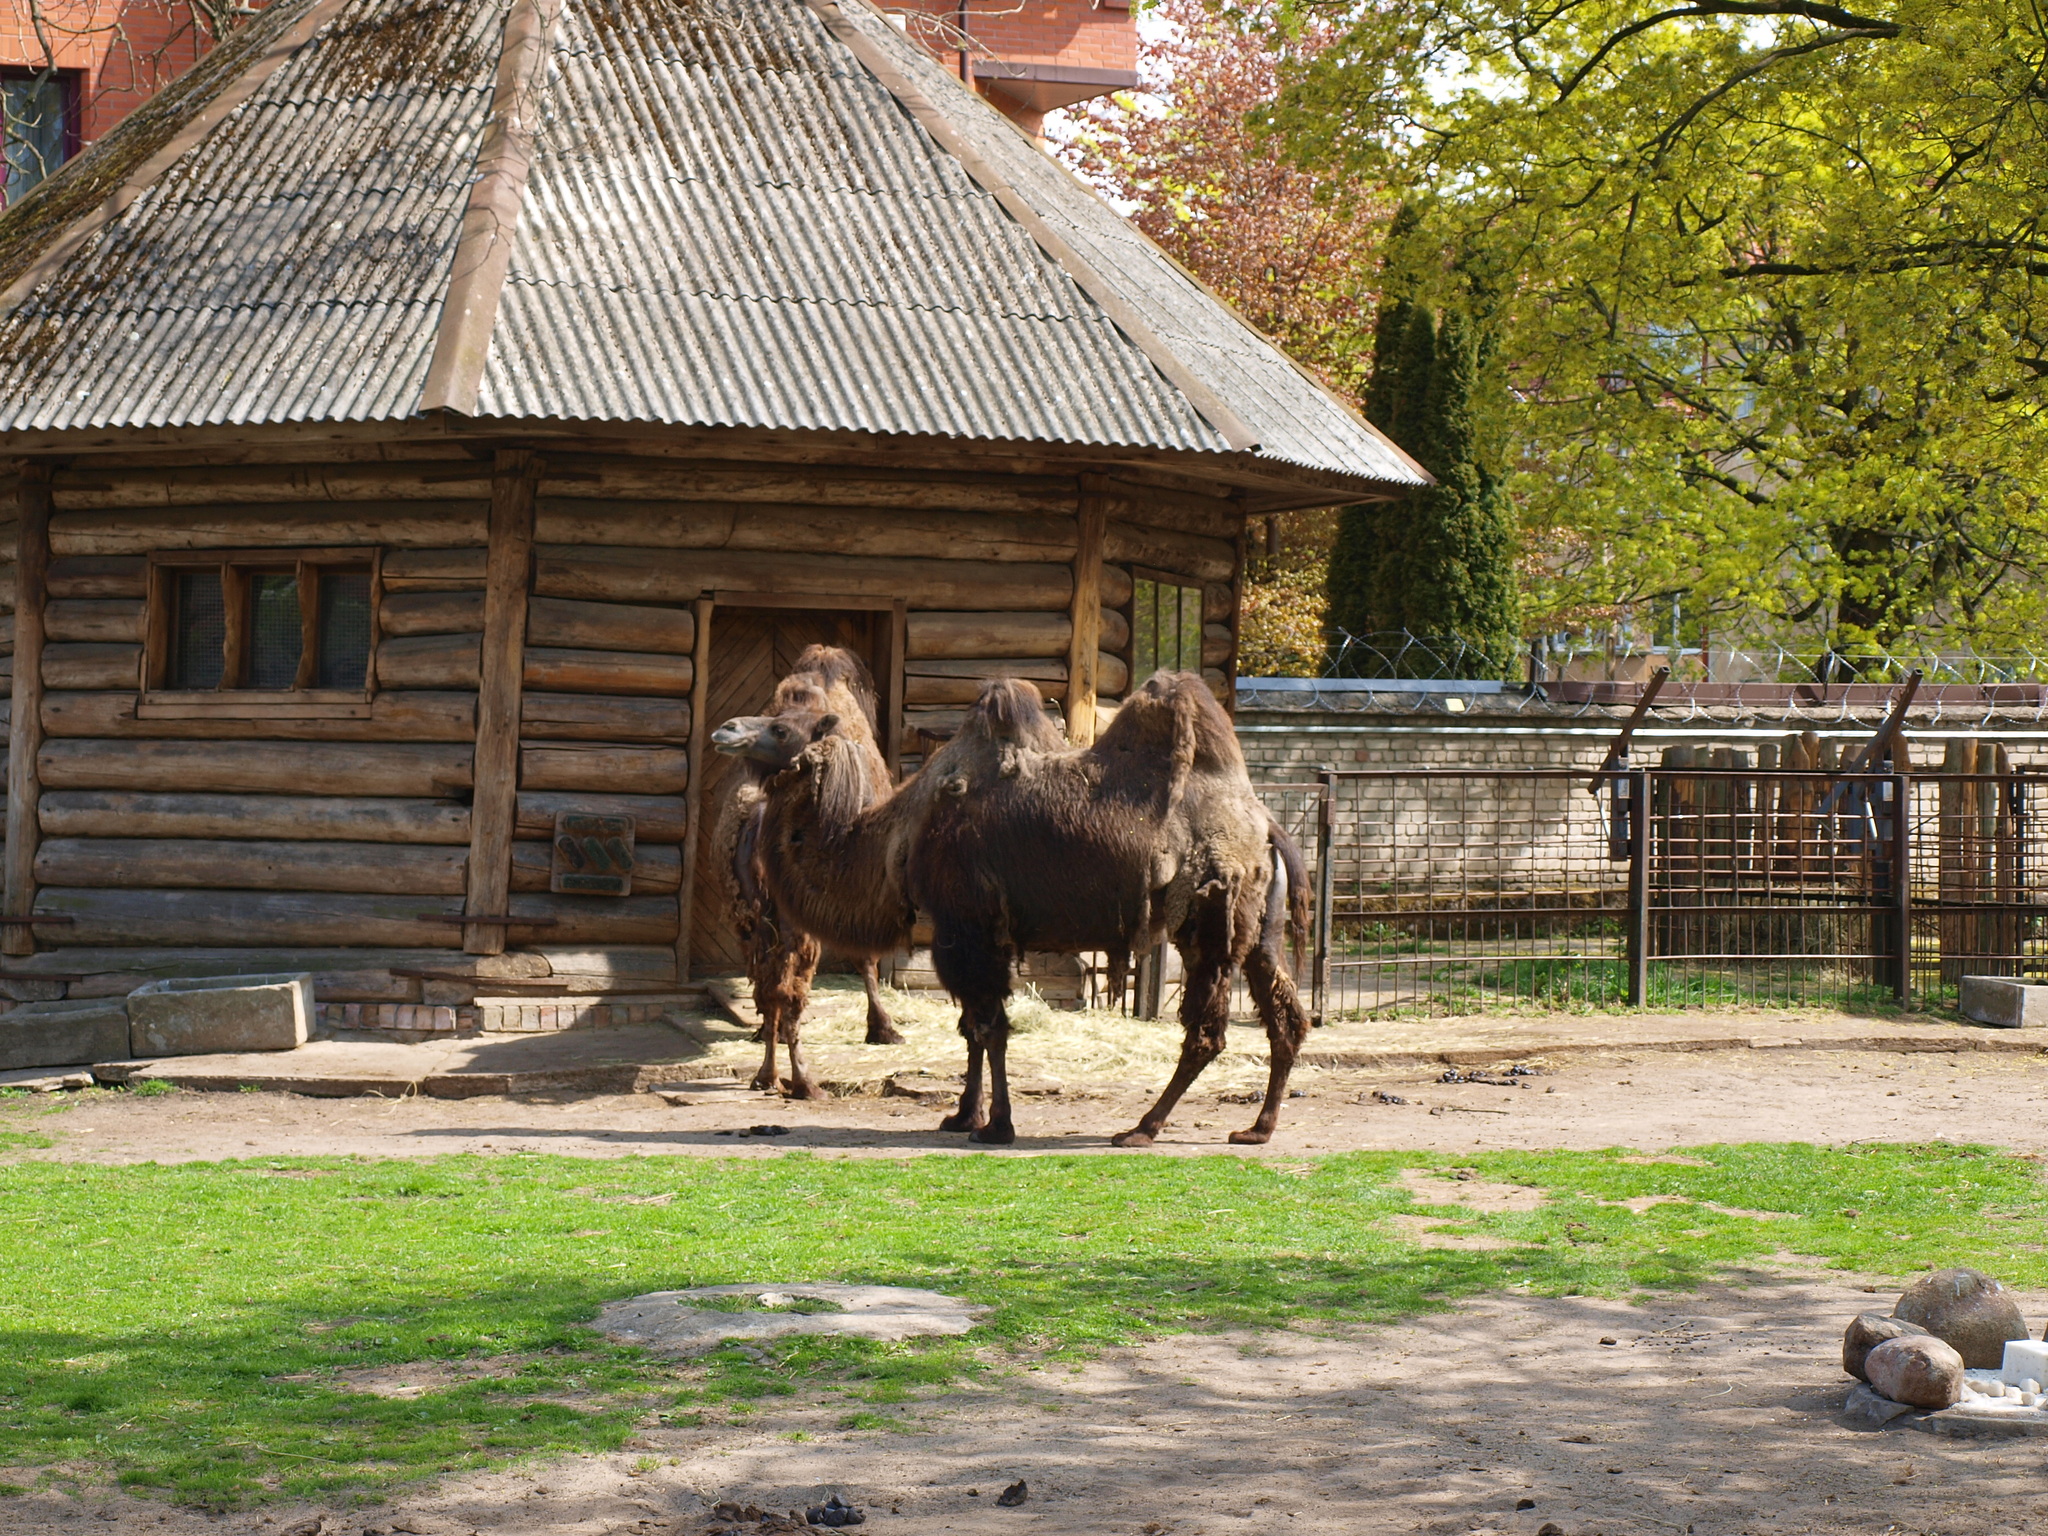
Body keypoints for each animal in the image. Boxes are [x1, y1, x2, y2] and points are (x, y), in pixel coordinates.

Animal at [708, 643, 901, 1097]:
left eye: (780, 730)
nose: (726, 729)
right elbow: (866, 960)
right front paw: (883, 1028)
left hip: (750, 914)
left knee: (768, 986)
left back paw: (767, 1072)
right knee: (789, 989)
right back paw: (803, 1081)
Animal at [737, 671, 1310, 1146]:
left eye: (782, 728)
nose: (728, 728)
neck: (898, 836)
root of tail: (1266, 826)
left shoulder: (966, 926)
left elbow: (990, 1029)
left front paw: (996, 1127)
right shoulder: (968, 934)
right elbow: (971, 1027)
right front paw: (961, 1116)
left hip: (1209, 920)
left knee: (1206, 1032)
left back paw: (1141, 1129)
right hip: (1259, 928)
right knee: (1285, 1017)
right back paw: (1257, 1129)